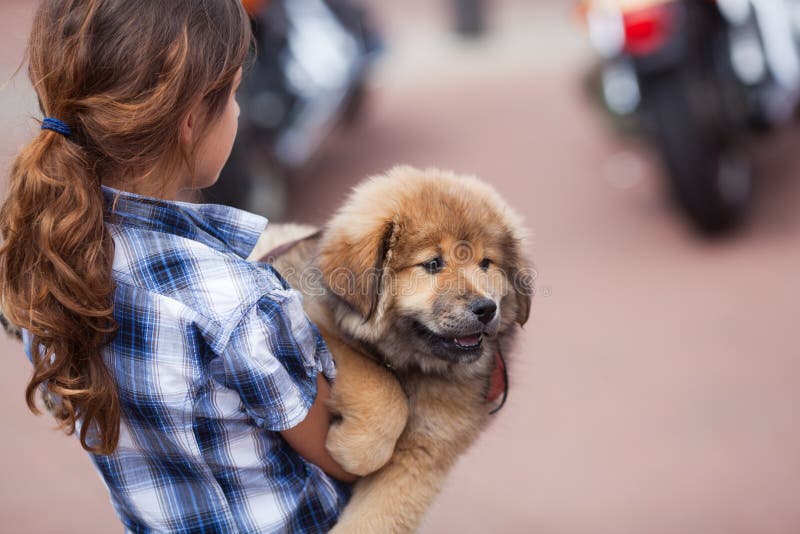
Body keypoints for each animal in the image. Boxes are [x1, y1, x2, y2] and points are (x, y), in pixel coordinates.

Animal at [250, 166, 536, 532]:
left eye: (486, 263)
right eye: (433, 264)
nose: (486, 309)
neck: (412, 365)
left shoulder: (422, 456)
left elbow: (376, 519)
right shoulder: (305, 325)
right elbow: (384, 390)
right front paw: (353, 449)